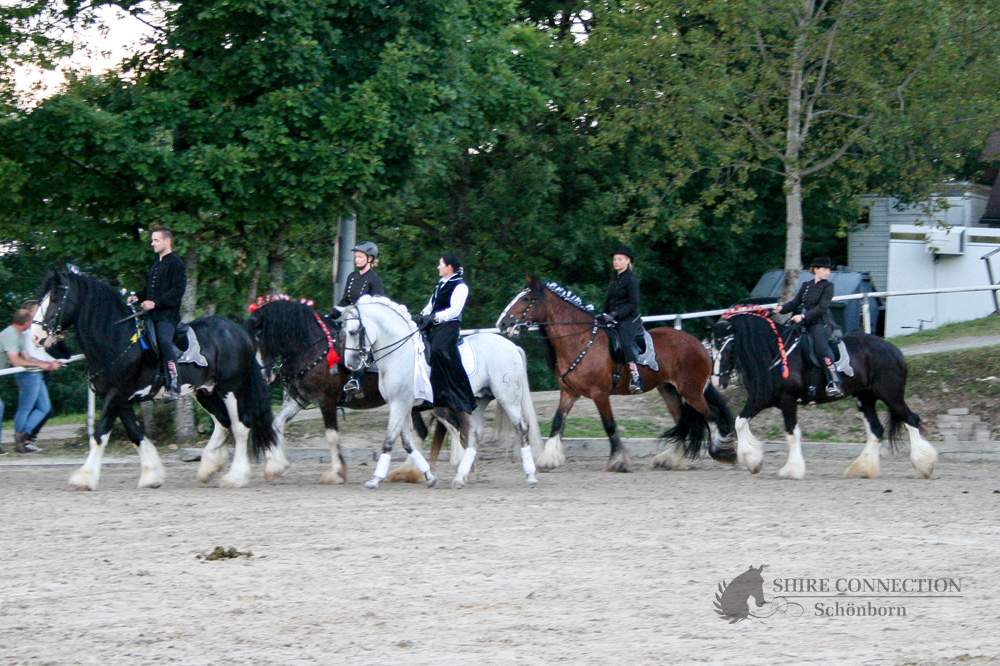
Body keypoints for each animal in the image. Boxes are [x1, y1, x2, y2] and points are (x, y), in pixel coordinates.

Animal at [30, 268, 276, 490]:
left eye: (56, 298)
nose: (36, 336)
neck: (115, 340)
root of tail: (237, 331)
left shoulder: (116, 395)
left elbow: (99, 435)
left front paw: (84, 478)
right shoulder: (120, 399)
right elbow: (135, 434)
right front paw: (152, 475)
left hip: (231, 388)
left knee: (240, 426)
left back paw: (235, 477)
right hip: (205, 391)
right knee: (223, 421)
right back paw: (209, 467)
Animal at [244, 298, 436, 486]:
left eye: (259, 339)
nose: (264, 376)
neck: (312, 349)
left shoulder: (326, 400)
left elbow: (332, 436)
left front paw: (336, 473)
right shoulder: (298, 399)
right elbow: (276, 424)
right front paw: (275, 466)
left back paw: (411, 472)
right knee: (420, 432)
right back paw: (410, 472)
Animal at [340, 296, 544, 488]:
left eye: (353, 332)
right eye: (343, 332)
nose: (351, 364)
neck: (400, 354)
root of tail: (511, 346)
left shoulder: (400, 404)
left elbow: (389, 440)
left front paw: (375, 479)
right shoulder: (402, 405)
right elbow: (407, 443)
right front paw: (429, 477)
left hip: (507, 397)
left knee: (521, 428)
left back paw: (531, 476)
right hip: (479, 400)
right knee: (475, 434)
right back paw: (460, 477)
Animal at [494, 274, 736, 472]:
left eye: (526, 299)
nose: (502, 323)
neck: (580, 340)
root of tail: (699, 346)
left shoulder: (599, 394)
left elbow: (609, 425)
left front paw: (618, 461)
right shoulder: (568, 393)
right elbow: (557, 423)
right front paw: (549, 459)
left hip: (691, 391)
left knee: (712, 415)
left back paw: (722, 452)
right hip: (669, 390)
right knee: (684, 423)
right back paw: (669, 459)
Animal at [712, 306, 936, 478]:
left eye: (729, 344)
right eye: (712, 345)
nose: (716, 381)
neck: (774, 354)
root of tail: (893, 350)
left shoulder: (788, 400)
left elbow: (792, 433)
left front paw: (792, 470)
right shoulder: (760, 399)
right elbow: (739, 422)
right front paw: (753, 462)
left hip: (891, 396)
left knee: (911, 420)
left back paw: (925, 465)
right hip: (865, 398)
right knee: (876, 430)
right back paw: (862, 469)